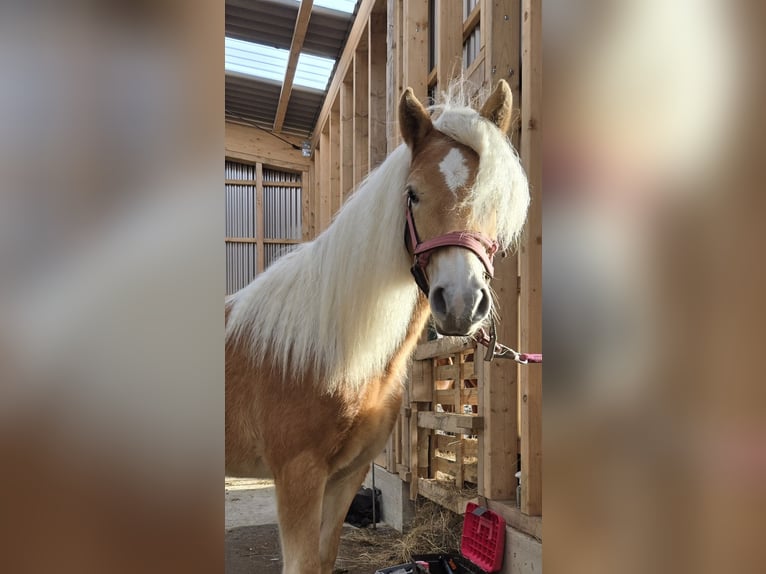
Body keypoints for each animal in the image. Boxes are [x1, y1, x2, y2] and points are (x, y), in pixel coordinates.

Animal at [225, 82, 532, 574]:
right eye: (413, 194)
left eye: (493, 198)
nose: (461, 302)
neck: (329, 347)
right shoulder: (297, 476)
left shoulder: (345, 477)